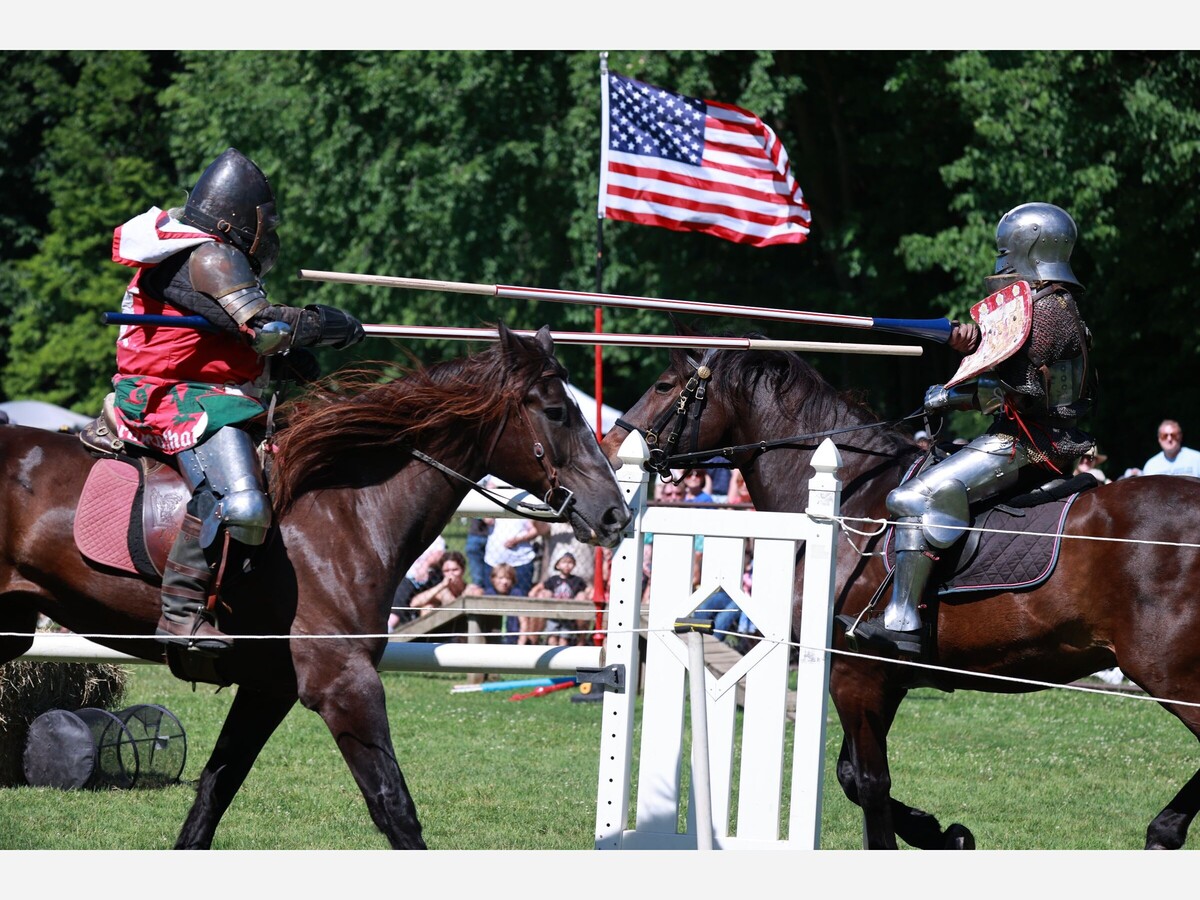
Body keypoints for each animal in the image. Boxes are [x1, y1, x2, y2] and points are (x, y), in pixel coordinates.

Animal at [0, 326, 633, 854]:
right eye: (556, 411)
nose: (614, 515)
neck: (348, 508)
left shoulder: (268, 689)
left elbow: (213, 793)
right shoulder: (344, 685)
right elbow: (394, 808)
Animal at [604, 336, 1200, 854]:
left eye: (663, 385)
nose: (608, 450)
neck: (853, 497)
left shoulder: (855, 674)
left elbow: (869, 782)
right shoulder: (883, 680)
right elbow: (851, 776)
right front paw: (944, 833)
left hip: (1171, 676)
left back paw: (1163, 831)